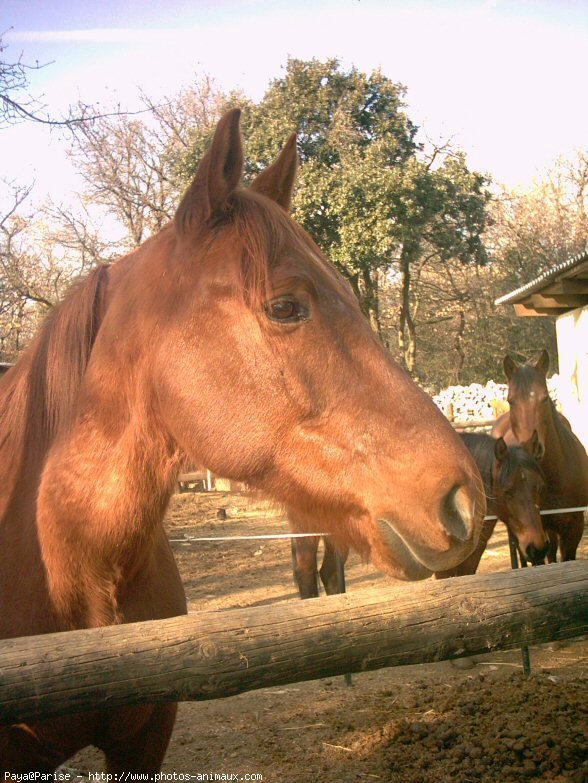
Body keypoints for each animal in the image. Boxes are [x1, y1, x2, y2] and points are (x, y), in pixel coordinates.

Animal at [292, 432, 548, 596]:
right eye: (508, 491)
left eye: (539, 487)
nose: (538, 547)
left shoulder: (471, 558)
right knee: (306, 572)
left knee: (330, 574)